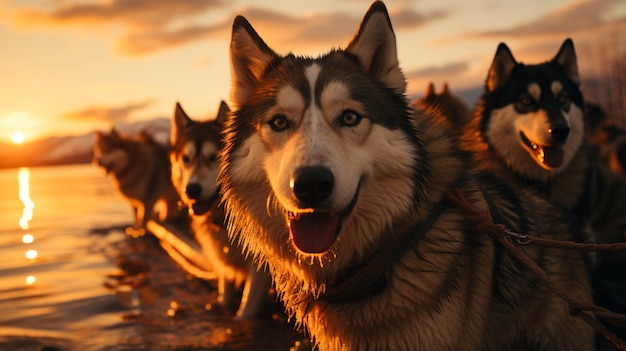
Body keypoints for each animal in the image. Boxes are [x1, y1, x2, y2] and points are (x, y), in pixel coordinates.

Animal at [168, 102, 270, 320]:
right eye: (186, 158)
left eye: (213, 157)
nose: (192, 190)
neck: (223, 220)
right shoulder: (225, 264)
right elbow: (225, 298)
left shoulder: (259, 272)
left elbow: (245, 311)